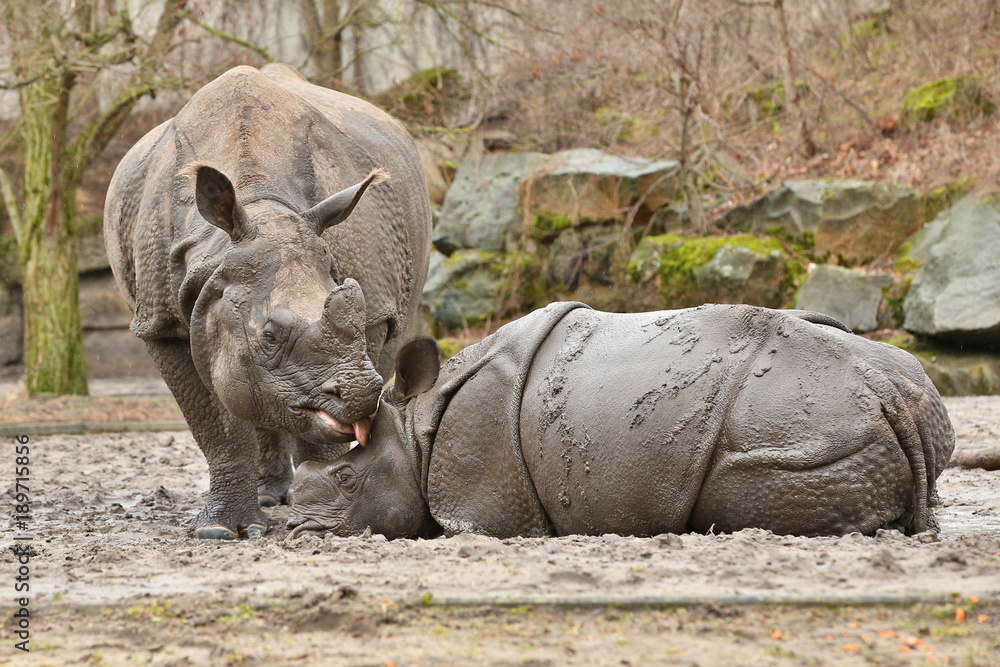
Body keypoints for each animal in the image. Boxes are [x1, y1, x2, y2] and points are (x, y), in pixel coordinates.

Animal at [104, 64, 431, 539]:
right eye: (270, 336)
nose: (363, 394)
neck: (259, 205)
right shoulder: (161, 322)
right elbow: (216, 423)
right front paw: (219, 532)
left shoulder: (369, 310)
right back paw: (266, 498)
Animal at [288, 302, 955, 540]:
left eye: (348, 480)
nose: (295, 532)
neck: (418, 426)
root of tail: (889, 394)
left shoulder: (484, 508)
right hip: (902, 398)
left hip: (803, 426)